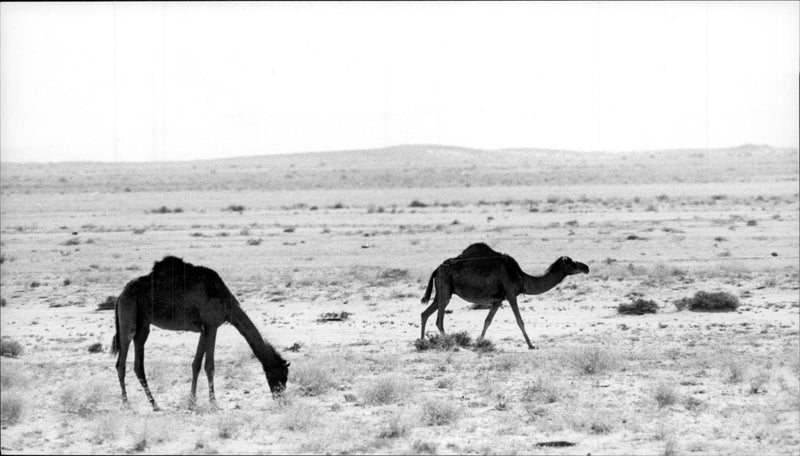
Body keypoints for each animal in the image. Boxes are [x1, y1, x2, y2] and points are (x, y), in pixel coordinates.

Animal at [111, 256, 290, 410]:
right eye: (282, 375)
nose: (281, 398)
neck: (226, 302)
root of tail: (120, 295)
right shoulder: (212, 325)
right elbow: (209, 365)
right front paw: (213, 402)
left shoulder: (205, 328)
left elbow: (196, 364)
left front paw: (192, 401)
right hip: (128, 315)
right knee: (121, 361)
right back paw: (126, 403)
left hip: (143, 324)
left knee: (138, 364)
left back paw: (154, 403)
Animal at [418, 244, 588, 350]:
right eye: (572, 263)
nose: (586, 267)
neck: (522, 278)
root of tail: (437, 269)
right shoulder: (511, 295)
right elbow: (520, 321)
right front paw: (531, 345)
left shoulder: (497, 300)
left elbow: (487, 321)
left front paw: (479, 342)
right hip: (445, 288)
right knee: (439, 320)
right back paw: (450, 343)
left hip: (442, 291)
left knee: (425, 313)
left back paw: (422, 342)